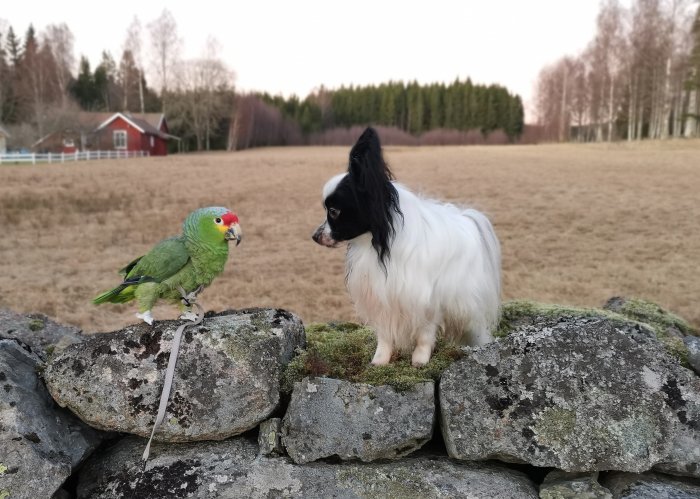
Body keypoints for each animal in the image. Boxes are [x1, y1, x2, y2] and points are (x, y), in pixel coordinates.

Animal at [314, 127, 504, 366]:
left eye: (334, 211)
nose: (314, 236)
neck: (378, 243)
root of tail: (465, 218)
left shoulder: (427, 299)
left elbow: (425, 333)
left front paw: (420, 359)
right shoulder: (382, 294)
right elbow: (385, 335)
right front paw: (380, 360)